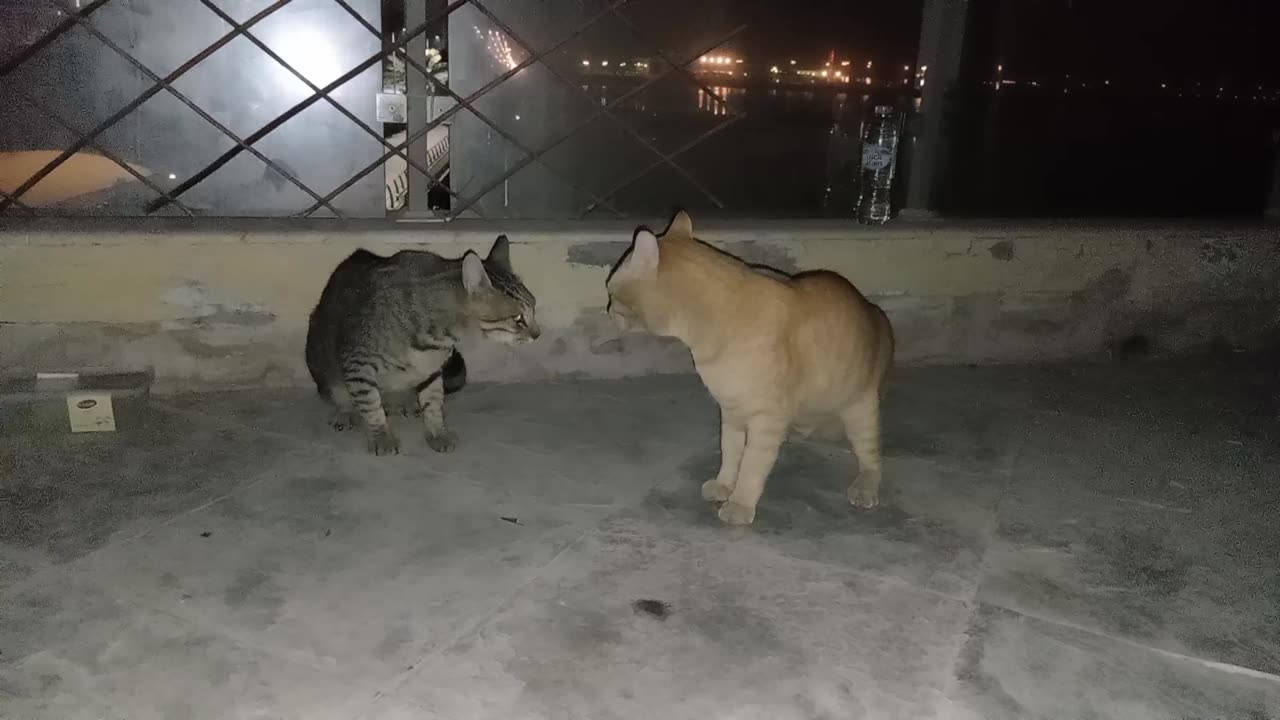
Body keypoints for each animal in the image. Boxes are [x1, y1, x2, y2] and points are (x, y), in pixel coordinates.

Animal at [303, 235, 535, 453]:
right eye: (518, 319)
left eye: (533, 308)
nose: (538, 334)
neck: (438, 341)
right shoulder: (357, 363)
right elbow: (370, 404)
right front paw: (381, 436)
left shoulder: (431, 371)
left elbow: (433, 403)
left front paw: (436, 432)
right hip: (321, 359)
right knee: (339, 392)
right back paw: (347, 411)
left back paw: (404, 400)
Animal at [606, 210, 890, 525]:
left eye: (611, 291)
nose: (606, 309)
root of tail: (875, 311)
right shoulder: (731, 411)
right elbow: (731, 453)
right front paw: (724, 484)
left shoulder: (766, 420)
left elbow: (752, 467)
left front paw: (740, 503)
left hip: (860, 411)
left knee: (872, 460)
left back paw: (864, 487)